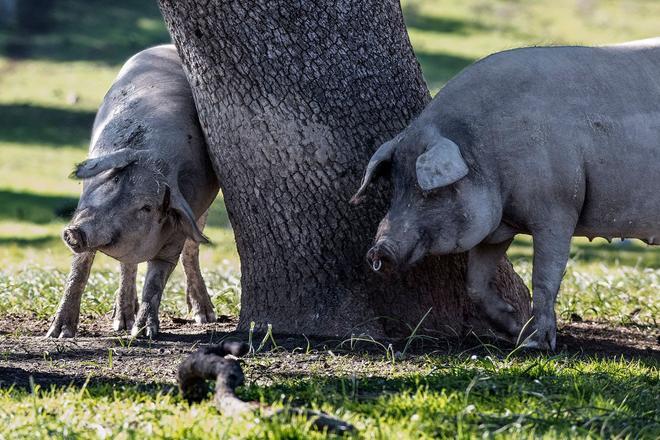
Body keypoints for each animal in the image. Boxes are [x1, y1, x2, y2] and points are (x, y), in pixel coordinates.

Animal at [47, 44, 222, 338]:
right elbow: (80, 267)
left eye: (146, 207)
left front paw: (143, 334)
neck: (147, 156)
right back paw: (121, 321)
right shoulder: (83, 212)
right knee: (126, 266)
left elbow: (157, 276)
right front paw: (58, 334)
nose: (74, 231)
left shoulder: (178, 225)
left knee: (191, 252)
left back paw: (204, 316)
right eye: (108, 181)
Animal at [354, 37, 660, 350]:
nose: (378, 251)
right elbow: (475, 284)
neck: (489, 153)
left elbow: (544, 278)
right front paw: (515, 331)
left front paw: (537, 344)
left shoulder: (558, 208)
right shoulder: (497, 227)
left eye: (428, 192)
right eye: (396, 187)